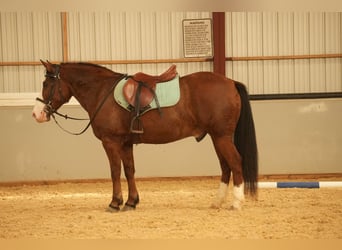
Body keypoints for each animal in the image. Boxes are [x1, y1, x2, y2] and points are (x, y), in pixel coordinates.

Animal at [32, 61, 258, 211]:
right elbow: (129, 170)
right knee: (226, 167)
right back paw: (217, 202)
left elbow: (115, 171)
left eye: (46, 84)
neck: (103, 92)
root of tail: (230, 82)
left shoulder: (110, 142)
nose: (37, 113)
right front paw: (131, 202)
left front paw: (115, 203)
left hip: (221, 137)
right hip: (216, 137)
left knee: (235, 163)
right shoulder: (125, 144)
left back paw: (236, 203)